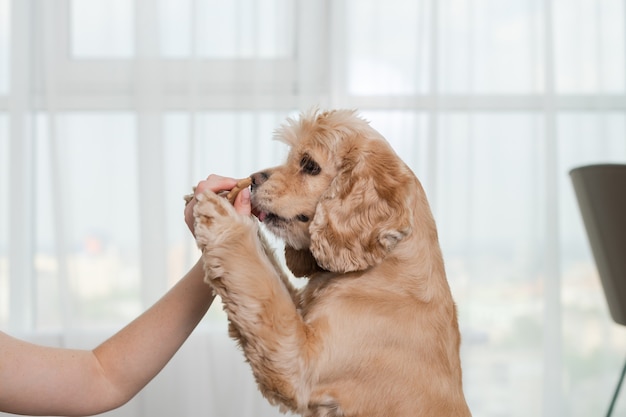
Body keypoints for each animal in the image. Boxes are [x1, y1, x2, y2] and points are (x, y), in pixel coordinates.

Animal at [193, 108, 470, 416]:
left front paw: (223, 216)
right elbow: (267, 274)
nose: (253, 179)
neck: (387, 265)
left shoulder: (300, 363)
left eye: (309, 165)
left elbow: (261, 285)